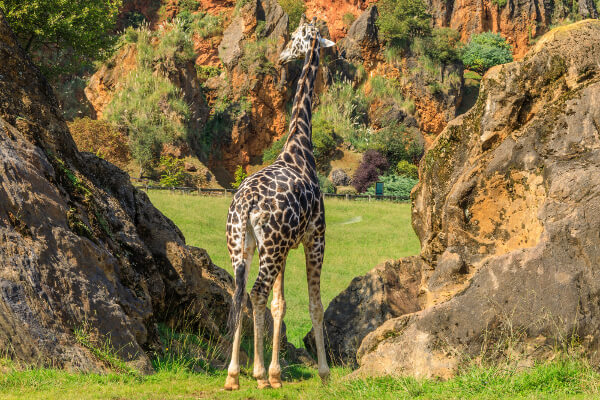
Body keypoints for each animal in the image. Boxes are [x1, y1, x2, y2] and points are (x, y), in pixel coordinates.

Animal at [225, 16, 336, 390]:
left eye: (295, 39)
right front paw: (323, 372)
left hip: (243, 245)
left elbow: (280, 304)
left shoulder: (285, 247)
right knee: (256, 292)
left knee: (240, 292)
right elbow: (315, 304)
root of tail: (246, 205)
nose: (284, 55)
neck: (299, 148)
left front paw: (275, 372)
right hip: (271, 248)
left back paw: (234, 375)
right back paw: (255, 374)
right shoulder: (315, 237)